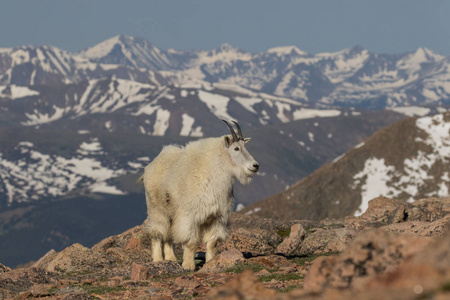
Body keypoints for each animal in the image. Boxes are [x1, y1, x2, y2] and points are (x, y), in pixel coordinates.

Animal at [139, 120, 260, 270]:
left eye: (244, 146)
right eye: (236, 148)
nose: (255, 166)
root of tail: (149, 166)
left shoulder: (217, 217)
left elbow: (212, 242)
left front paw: (211, 262)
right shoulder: (190, 216)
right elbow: (191, 242)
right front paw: (188, 266)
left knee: (168, 235)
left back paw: (171, 259)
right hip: (156, 209)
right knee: (157, 232)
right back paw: (158, 260)